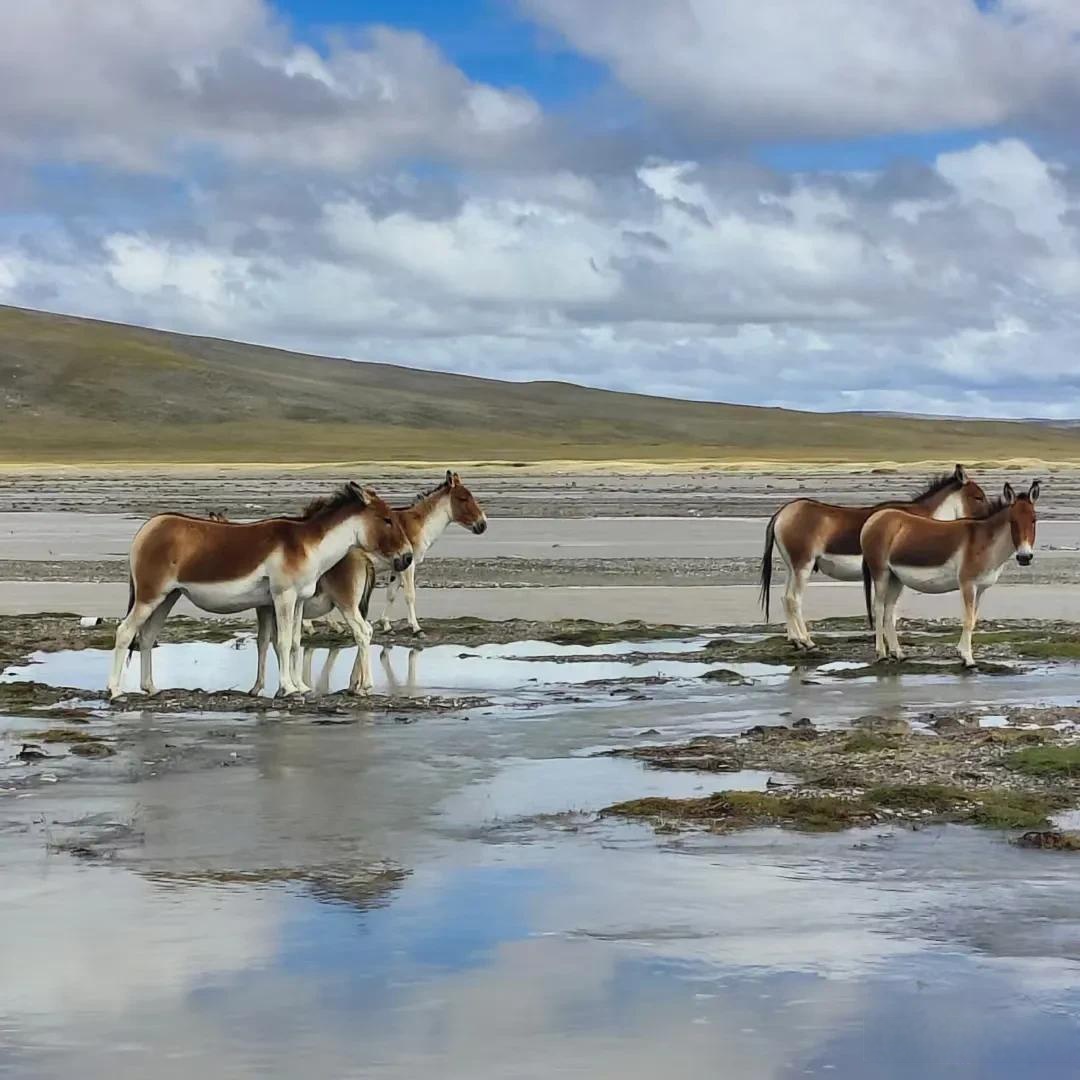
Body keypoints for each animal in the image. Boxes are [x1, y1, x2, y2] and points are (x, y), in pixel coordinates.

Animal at [106, 483, 408, 699]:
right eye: (387, 519)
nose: (406, 558)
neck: (307, 545)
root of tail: (148, 527)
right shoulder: (282, 596)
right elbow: (282, 642)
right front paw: (288, 688)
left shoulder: (298, 599)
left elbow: (294, 642)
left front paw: (297, 686)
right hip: (150, 596)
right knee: (125, 632)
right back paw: (116, 691)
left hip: (167, 597)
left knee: (146, 637)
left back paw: (151, 688)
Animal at [760, 466, 989, 648]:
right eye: (978, 497)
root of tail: (782, 512)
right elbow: (890, 611)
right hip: (803, 565)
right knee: (794, 599)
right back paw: (806, 641)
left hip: (792, 567)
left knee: (785, 598)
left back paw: (795, 640)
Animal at [859, 481, 1036, 665]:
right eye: (1012, 521)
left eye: (1033, 520)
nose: (1024, 557)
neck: (985, 541)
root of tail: (874, 518)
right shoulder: (967, 584)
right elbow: (968, 619)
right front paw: (967, 658)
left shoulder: (980, 588)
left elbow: (973, 620)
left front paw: (963, 654)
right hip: (881, 573)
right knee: (879, 608)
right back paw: (881, 653)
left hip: (895, 578)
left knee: (889, 610)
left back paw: (898, 653)